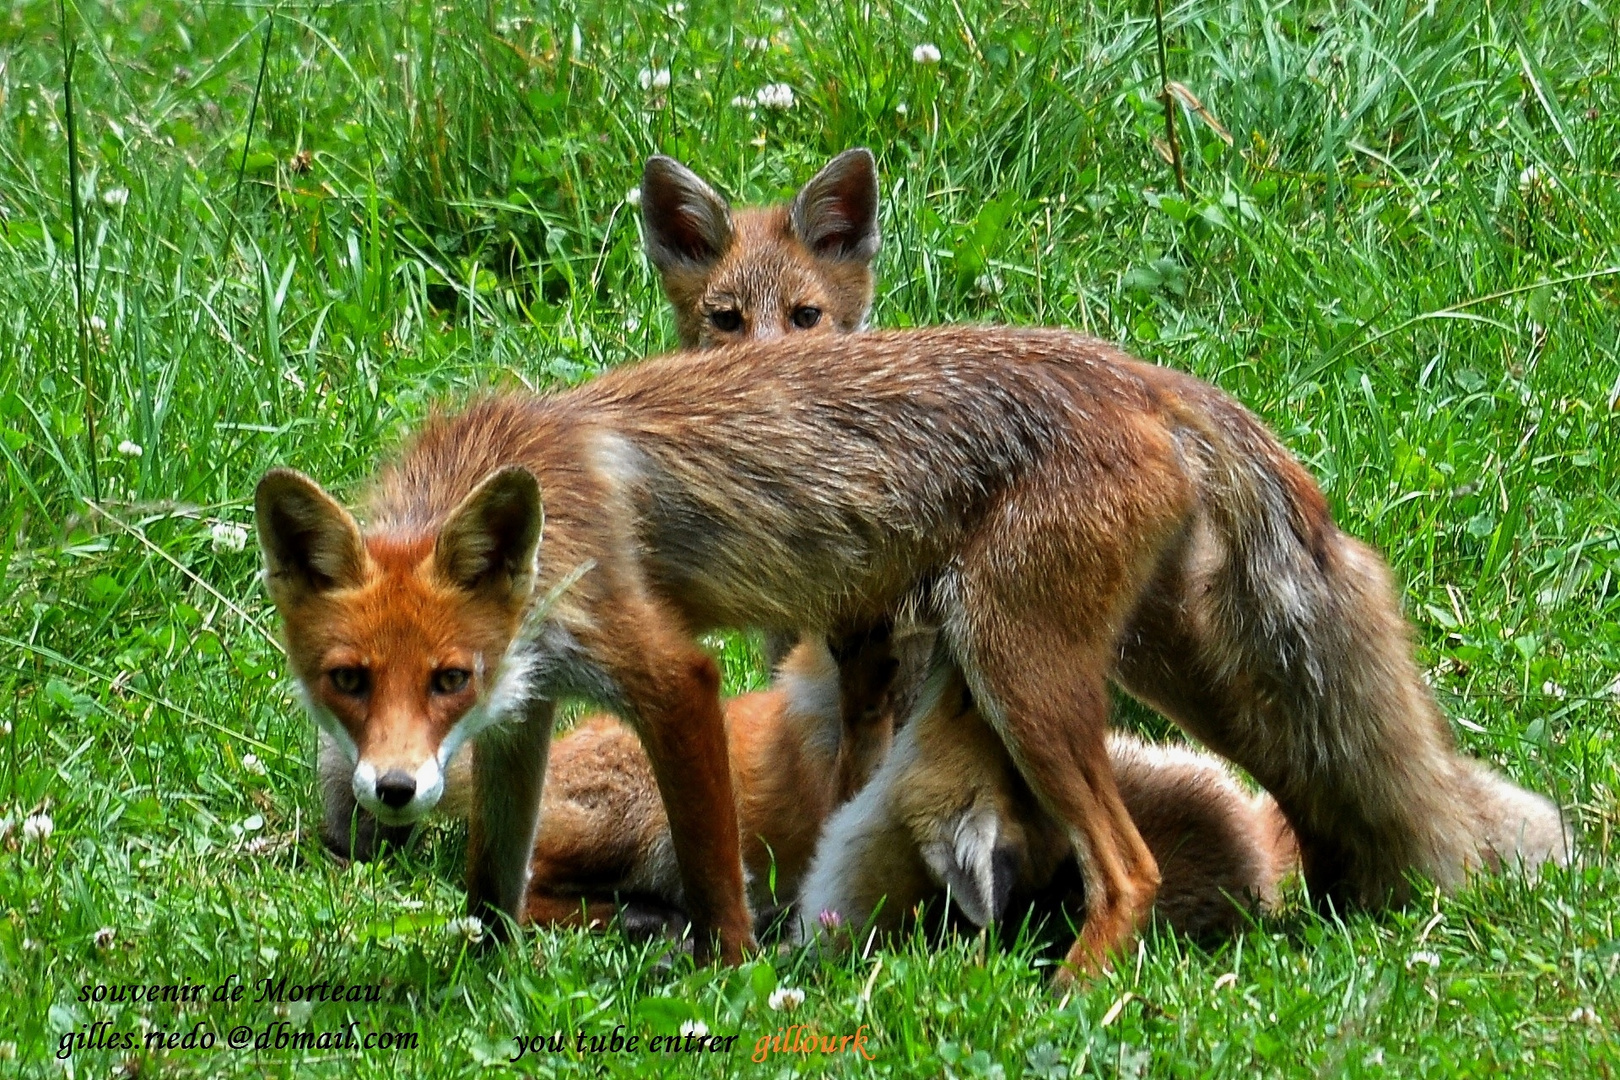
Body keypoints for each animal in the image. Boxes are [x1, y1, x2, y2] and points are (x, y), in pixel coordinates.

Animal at [255, 325, 1568, 977]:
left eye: (446, 679)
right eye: (347, 683)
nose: (389, 792)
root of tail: (1146, 376)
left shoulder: (666, 676)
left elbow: (717, 870)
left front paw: (734, 980)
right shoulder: (527, 715)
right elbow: (490, 889)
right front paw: (487, 974)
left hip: (1016, 670)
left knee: (1132, 866)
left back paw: (1073, 998)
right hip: (1169, 667)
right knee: (1322, 776)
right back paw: (1338, 904)